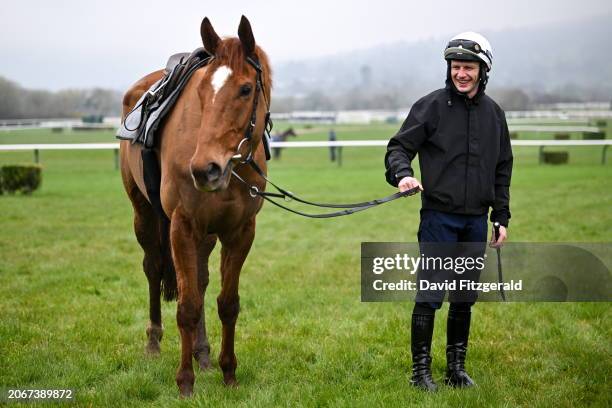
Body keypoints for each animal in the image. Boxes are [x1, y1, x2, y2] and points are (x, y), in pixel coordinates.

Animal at [119, 15, 270, 396]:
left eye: (246, 89)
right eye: (202, 91)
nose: (205, 168)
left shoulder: (239, 231)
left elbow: (227, 304)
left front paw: (228, 373)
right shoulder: (182, 225)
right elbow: (187, 307)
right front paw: (185, 382)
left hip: (207, 234)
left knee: (199, 281)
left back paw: (203, 354)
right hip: (145, 217)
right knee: (154, 268)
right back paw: (154, 342)